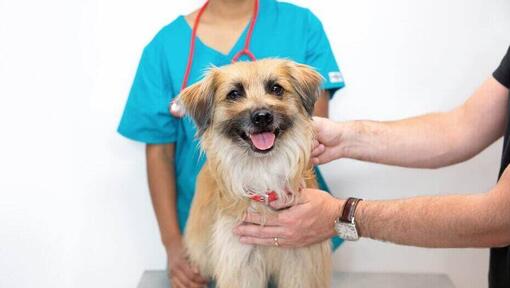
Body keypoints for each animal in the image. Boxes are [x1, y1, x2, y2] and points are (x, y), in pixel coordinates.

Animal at [178, 59, 330, 288]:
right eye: (234, 94)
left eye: (276, 88)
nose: (262, 117)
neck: (263, 170)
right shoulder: (241, 261)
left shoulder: (301, 262)